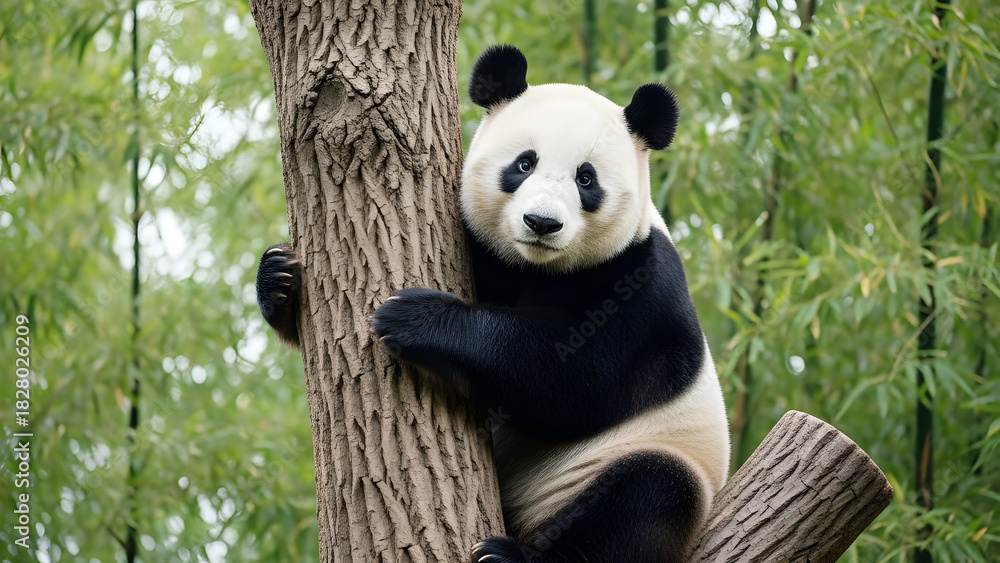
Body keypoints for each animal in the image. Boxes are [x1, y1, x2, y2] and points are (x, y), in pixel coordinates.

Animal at [257, 45, 729, 562]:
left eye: (586, 179)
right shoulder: (484, 251)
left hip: (643, 457)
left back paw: (509, 555)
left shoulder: (641, 286)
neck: (538, 266)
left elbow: (573, 375)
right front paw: (279, 278)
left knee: (646, 498)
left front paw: (414, 318)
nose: (542, 223)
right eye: (524, 164)